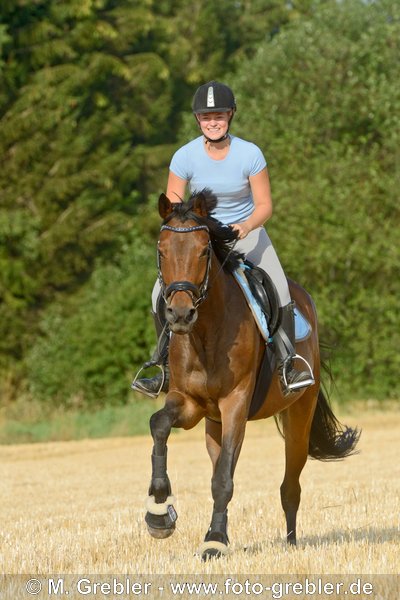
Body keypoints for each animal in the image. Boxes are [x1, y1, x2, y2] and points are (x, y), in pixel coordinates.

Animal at [144, 190, 360, 560]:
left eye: (204, 251)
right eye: (162, 251)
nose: (180, 314)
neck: (205, 333)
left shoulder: (236, 402)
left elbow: (223, 481)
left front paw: (214, 541)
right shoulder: (189, 403)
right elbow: (159, 425)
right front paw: (159, 512)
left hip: (298, 415)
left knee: (289, 485)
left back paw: (290, 544)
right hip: (213, 423)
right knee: (220, 463)